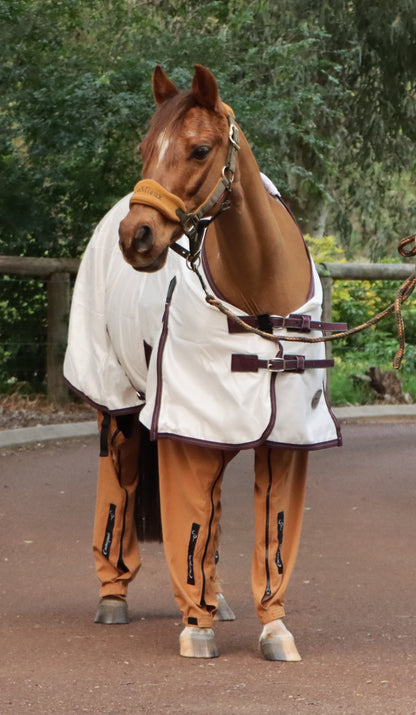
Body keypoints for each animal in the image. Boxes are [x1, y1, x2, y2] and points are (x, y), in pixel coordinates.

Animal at [64, 64, 343, 659]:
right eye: (145, 147)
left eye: (199, 149)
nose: (137, 236)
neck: (260, 296)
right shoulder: (187, 427)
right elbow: (187, 521)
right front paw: (197, 625)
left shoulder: (285, 438)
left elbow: (271, 528)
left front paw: (274, 628)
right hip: (120, 412)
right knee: (119, 492)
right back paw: (114, 596)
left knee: (213, 515)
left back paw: (221, 598)